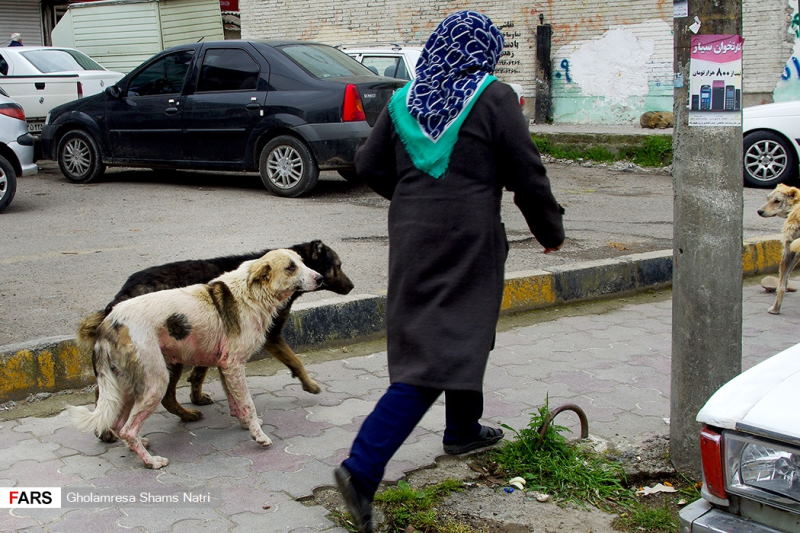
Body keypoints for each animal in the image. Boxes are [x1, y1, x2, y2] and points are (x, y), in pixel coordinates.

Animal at [79, 240, 354, 440]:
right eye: (338, 265)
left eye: (305, 265)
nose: (351, 286)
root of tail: (114, 307)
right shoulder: (271, 338)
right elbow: (296, 361)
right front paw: (310, 385)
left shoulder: (216, 351)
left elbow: (204, 375)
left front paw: (200, 396)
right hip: (165, 361)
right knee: (134, 396)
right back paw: (110, 432)